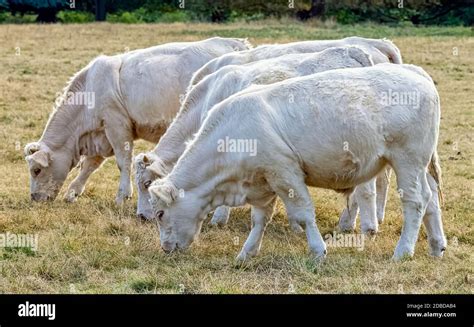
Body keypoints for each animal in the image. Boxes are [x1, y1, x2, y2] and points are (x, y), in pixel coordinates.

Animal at [23, 37, 252, 204]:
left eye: (36, 170)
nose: (34, 198)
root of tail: (235, 43)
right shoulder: (101, 134)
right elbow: (89, 165)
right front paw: (73, 192)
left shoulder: (117, 125)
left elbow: (122, 162)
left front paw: (122, 195)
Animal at [150, 64, 446, 264]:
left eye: (161, 214)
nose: (164, 247)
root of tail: (414, 71)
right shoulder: (263, 181)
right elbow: (259, 219)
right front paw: (247, 252)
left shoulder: (285, 174)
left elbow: (303, 215)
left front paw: (318, 251)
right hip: (421, 166)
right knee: (431, 201)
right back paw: (436, 246)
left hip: (407, 161)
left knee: (415, 202)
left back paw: (403, 251)